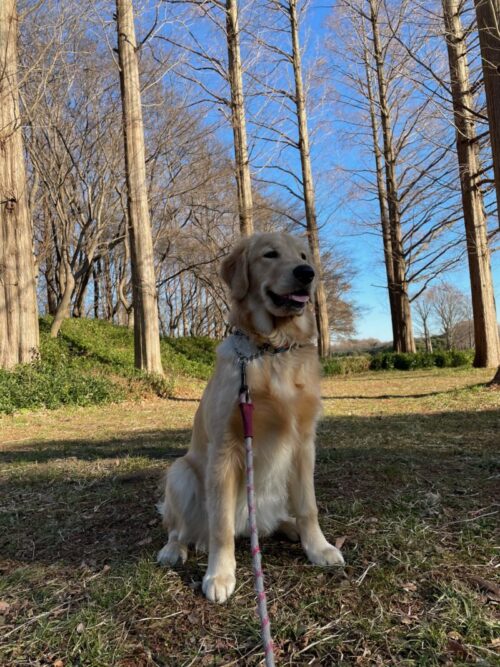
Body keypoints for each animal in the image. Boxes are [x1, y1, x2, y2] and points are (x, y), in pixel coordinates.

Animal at [157, 234, 344, 604]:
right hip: (180, 473)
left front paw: (318, 547)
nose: (307, 273)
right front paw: (219, 575)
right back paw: (174, 549)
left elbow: (309, 507)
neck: (272, 350)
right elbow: (220, 527)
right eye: (270, 254)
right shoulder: (225, 449)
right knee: (180, 528)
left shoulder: (304, 444)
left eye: (303, 256)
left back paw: (289, 527)